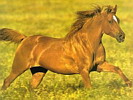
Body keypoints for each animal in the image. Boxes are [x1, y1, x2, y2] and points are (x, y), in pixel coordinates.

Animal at [0, 5, 131, 90]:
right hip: (19, 67)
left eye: (118, 20)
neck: (88, 44)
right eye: (110, 21)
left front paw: (129, 84)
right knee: (7, 81)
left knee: (32, 87)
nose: (122, 36)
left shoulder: (99, 65)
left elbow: (117, 68)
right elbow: (89, 87)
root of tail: (25, 38)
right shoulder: (83, 70)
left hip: (38, 71)